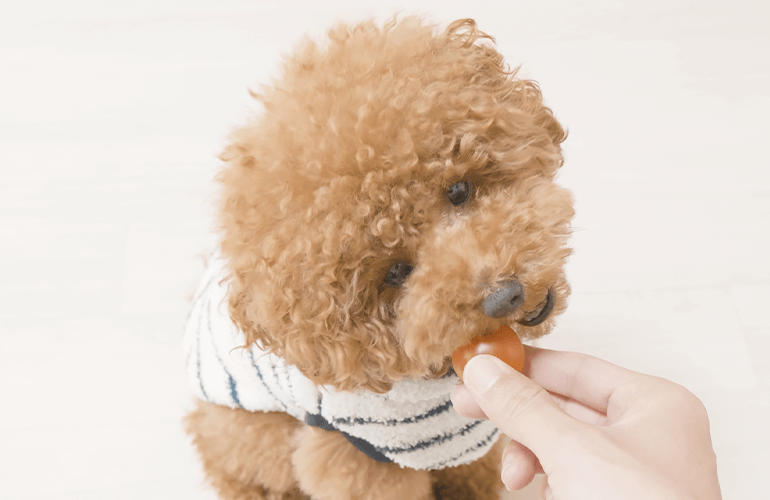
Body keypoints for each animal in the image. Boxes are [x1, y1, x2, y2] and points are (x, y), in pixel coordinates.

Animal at [184, 15, 568, 500]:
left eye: (459, 190)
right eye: (396, 272)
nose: (505, 297)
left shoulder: (463, 436)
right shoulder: (359, 455)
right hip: (251, 432)